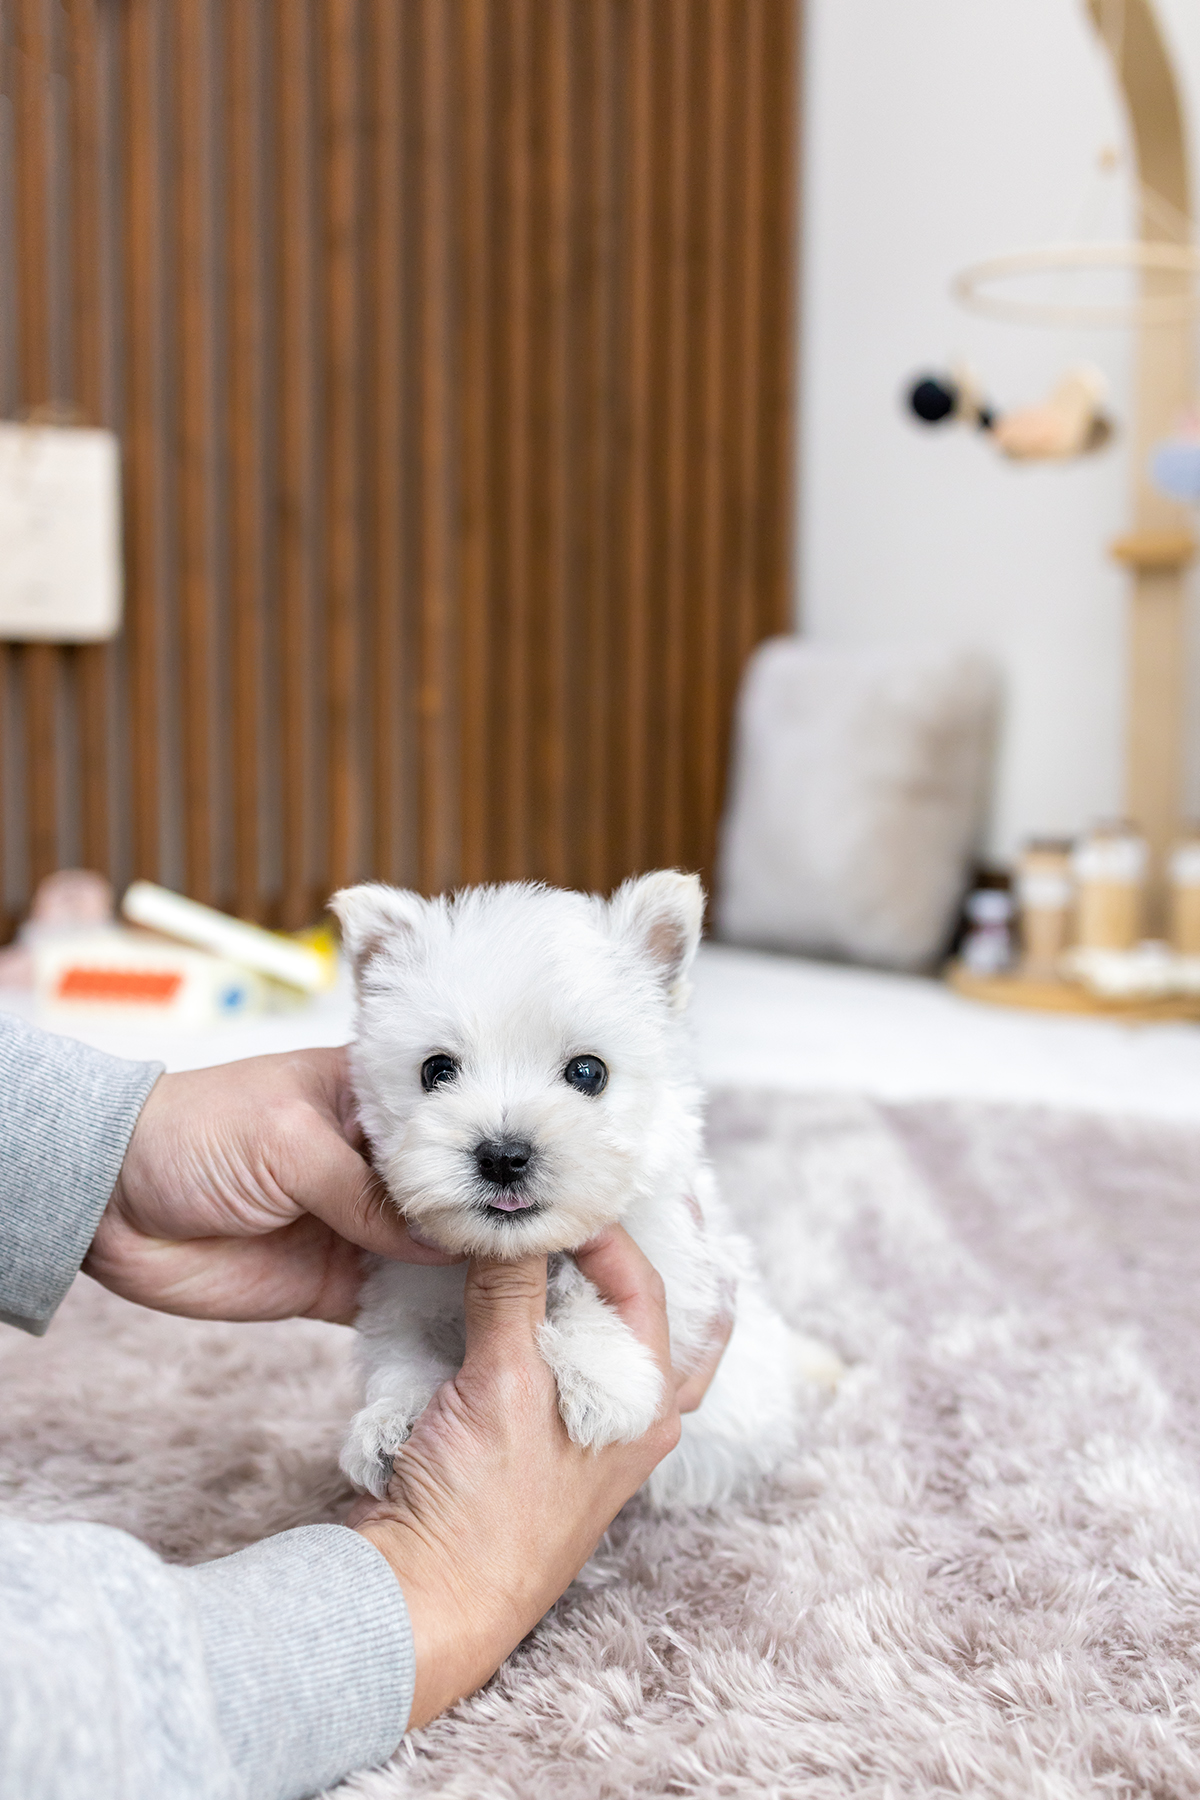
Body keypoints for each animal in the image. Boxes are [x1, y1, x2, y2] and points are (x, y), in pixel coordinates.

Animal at [329, 867, 834, 1504]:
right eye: (436, 1071)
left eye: (588, 1072)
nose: (504, 1156)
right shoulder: (404, 1295)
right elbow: (401, 1358)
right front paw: (392, 1424)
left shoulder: (681, 1274)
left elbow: (589, 1294)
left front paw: (602, 1381)